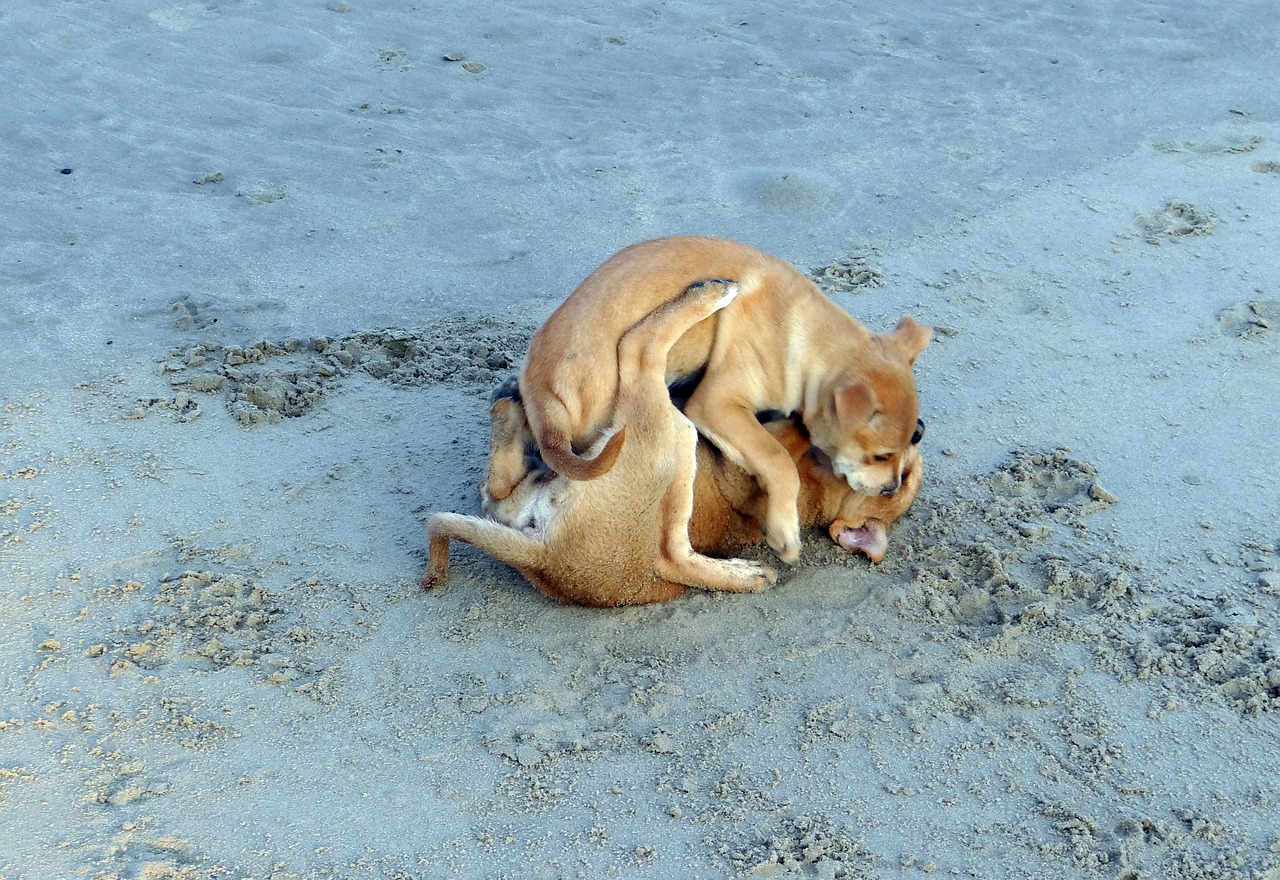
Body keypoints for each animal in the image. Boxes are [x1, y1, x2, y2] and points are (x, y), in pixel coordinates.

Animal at [509, 234, 931, 562]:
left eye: (912, 439)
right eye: (881, 456)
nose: (891, 488)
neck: (802, 338)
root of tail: (542, 395)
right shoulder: (717, 404)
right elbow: (778, 459)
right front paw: (784, 530)